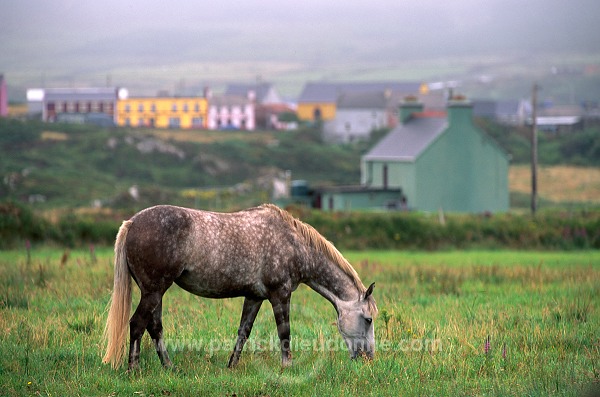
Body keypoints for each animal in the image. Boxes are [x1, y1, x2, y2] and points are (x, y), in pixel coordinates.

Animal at [102, 203, 376, 370]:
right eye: (368, 319)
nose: (368, 358)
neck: (293, 244)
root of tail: (131, 223)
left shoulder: (254, 297)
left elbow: (244, 331)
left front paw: (231, 365)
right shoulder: (280, 295)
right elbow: (284, 332)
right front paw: (287, 366)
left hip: (156, 293)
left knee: (155, 328)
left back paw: (169, 367)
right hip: (153, 291)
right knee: (137, 324)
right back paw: (134, 370)